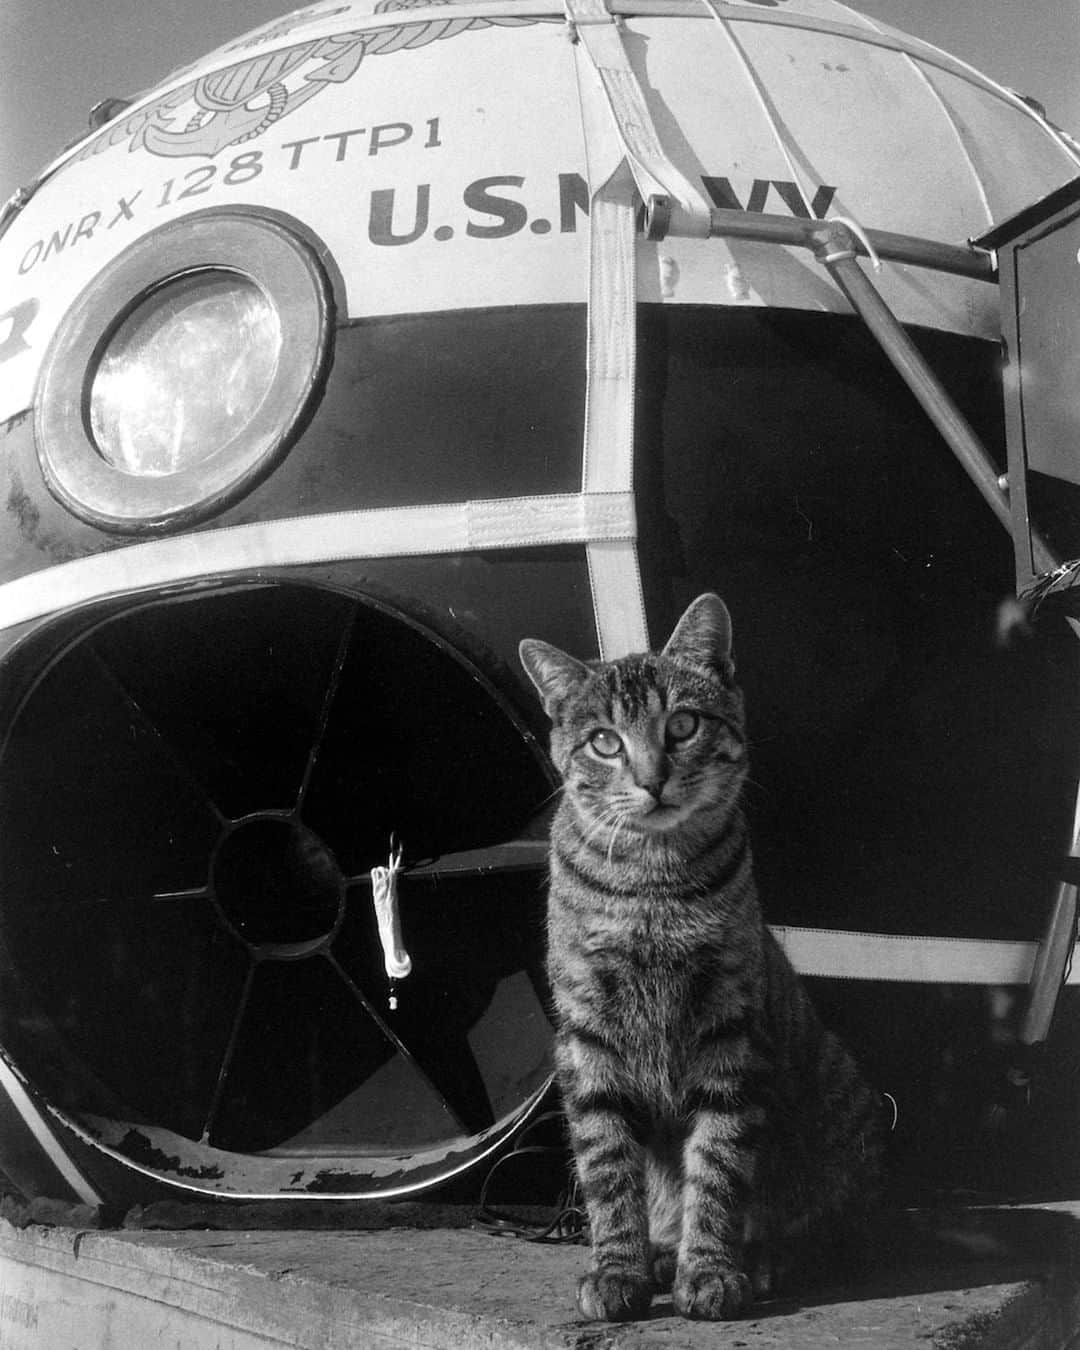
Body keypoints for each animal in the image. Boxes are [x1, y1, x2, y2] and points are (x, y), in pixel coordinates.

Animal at [518, 596, 880, 1323]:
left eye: (682, 724)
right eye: (605, 741)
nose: (652, 779)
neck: (650, 886)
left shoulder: (729, 1031)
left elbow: (716, 1165)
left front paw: (710, 1269)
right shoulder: (587, 1035)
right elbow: (608, 1168)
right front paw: (618, 1268)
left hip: (840, 1106)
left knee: (832, 1234)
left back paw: (765, 1259)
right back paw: (661, 1254)